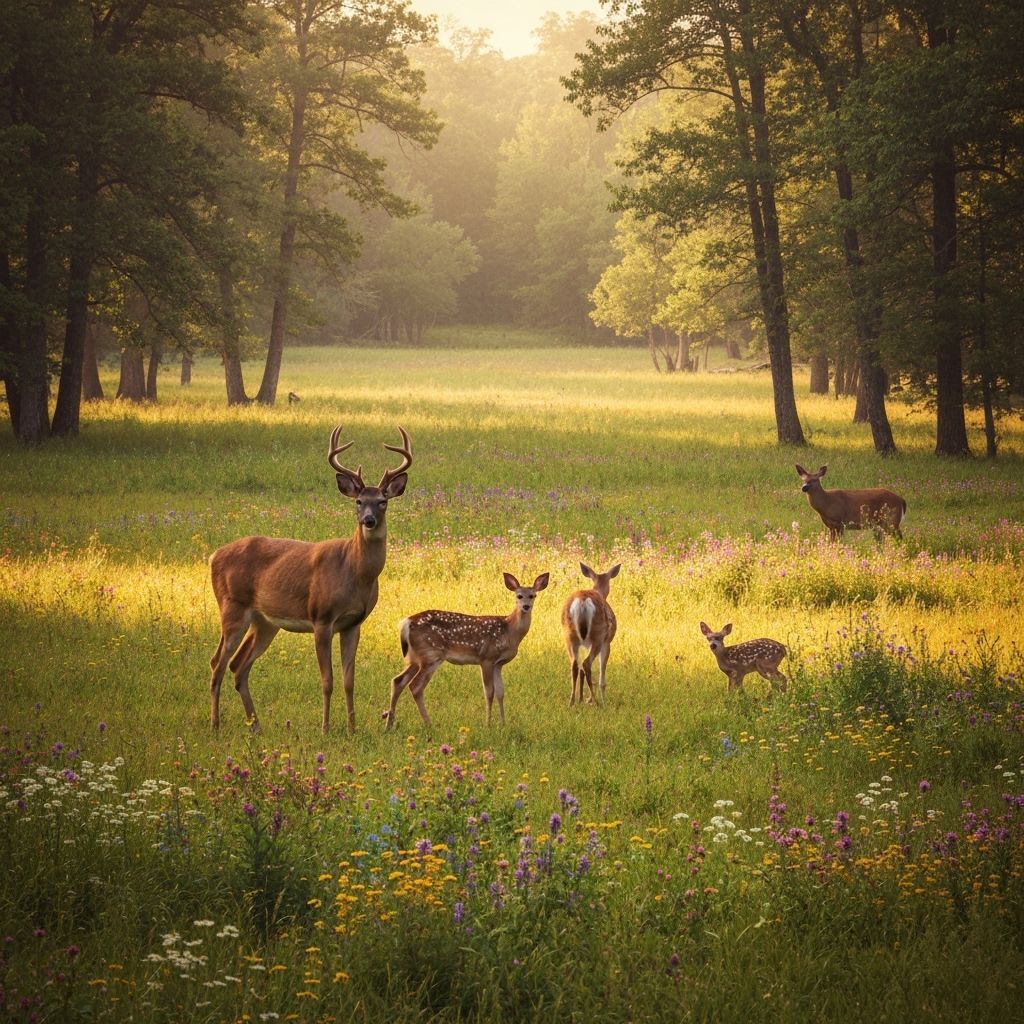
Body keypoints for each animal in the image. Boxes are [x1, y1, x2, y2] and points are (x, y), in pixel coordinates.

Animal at [208, 424, 412, 734]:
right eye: (358, 501)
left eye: (383, 502)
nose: (368, 520)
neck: (354, 572)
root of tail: (213, 556)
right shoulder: (322, 619)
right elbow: (327, 681)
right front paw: (326, 729)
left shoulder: (353, 623)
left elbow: (349, 681)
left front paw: (352, 729)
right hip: (232, 606)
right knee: (217, 663)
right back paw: (216, 725)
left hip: (264, 621)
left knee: (238, 665)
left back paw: (256, 727)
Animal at [381, 572, 549, 731]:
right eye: (518, 595)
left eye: (533, 595)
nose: (526, 606)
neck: (510, 630)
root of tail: (406, 623)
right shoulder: (486, 658)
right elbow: (489, 693)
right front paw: (488, 725)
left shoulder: (498, 664)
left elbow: (501, 693)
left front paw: (503, 724)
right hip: (430, 654)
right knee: (415, 686)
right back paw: (429, 724)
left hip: (414, 658)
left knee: (398, 681)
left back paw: (389, 725)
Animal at [562, 562, 620, 706]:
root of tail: (582, 601)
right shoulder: (607, 642)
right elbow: (601, 675)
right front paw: (600, 700)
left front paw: (582, 698)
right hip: (598, 636)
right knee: (586, 664)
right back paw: (596, 702)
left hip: (569, 636)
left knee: (575, 664)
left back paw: (572, 701)